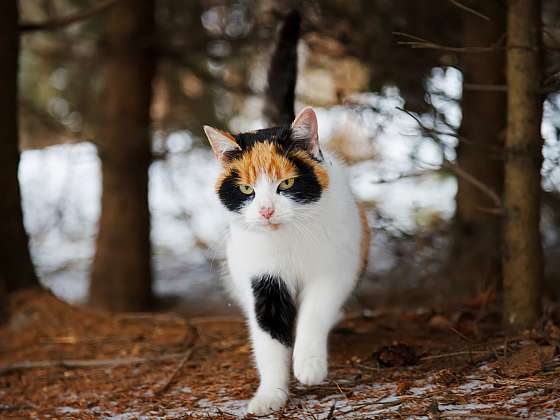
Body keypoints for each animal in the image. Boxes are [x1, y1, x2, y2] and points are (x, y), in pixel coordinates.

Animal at [201, 11, 368, 416]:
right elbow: (268, 340)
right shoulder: (263, 280)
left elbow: (315, 312)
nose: (265, 211)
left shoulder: (334, 269)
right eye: (247, 190)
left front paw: (308, 366)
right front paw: (270, 396)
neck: (290, 241)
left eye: (287, 184)